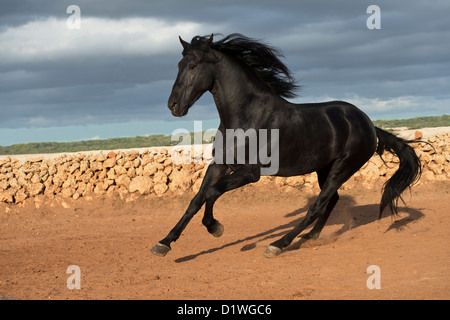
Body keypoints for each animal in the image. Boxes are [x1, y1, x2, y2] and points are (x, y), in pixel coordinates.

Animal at [149, 33, 424, 258]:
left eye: (193, 65)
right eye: (179, 65)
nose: (173, 106)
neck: (245, 117)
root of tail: (368, 124)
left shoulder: (250, 173)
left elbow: (212, 192)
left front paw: (215, 227)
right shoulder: (220, 165)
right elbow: (196, 199)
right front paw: (164, 243)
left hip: (344, 167)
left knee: (318, 205)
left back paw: (279, 244)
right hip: (325, 169)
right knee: (330, 201)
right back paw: (309, 238)